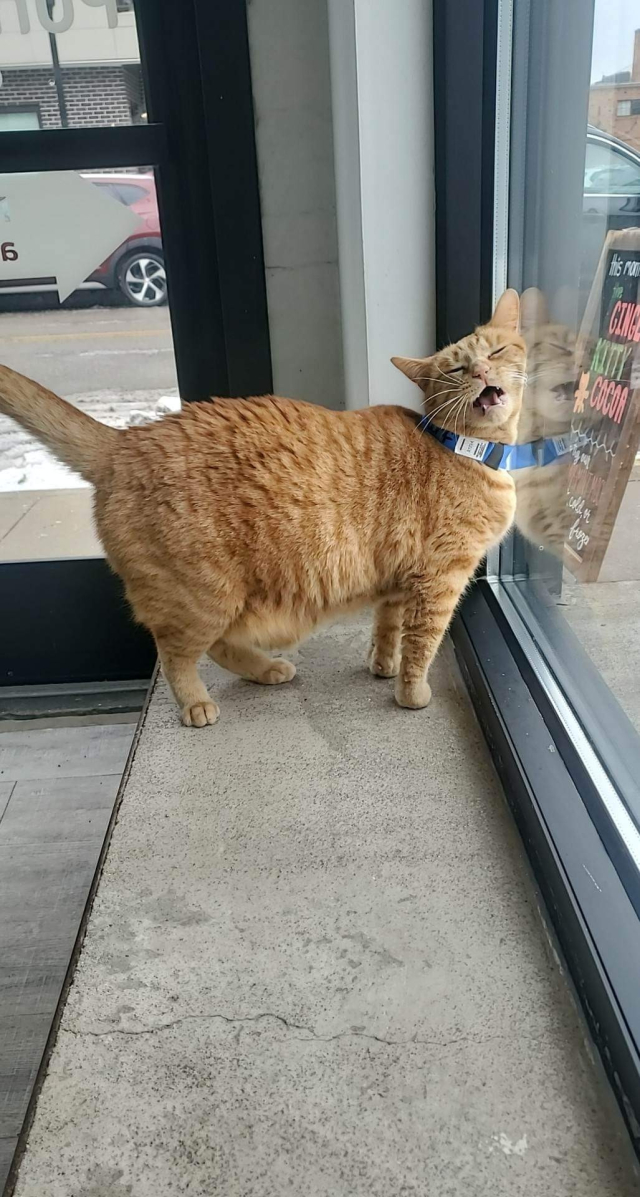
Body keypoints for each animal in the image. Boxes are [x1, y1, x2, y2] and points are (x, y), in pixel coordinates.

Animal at [0, 287, 526, 727]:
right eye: (456, 370)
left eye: (496, 352)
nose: (481, 372)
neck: (464, 449)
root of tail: (125, 441)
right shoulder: (440, 579)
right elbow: (422, 643)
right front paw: (410, 692)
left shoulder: (397, 583)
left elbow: (387, 628)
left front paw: (382, 665)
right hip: (203, 596)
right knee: (176, 653)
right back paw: (196, 703)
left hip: (226, 600)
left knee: (217, 646)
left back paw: (267, 669)